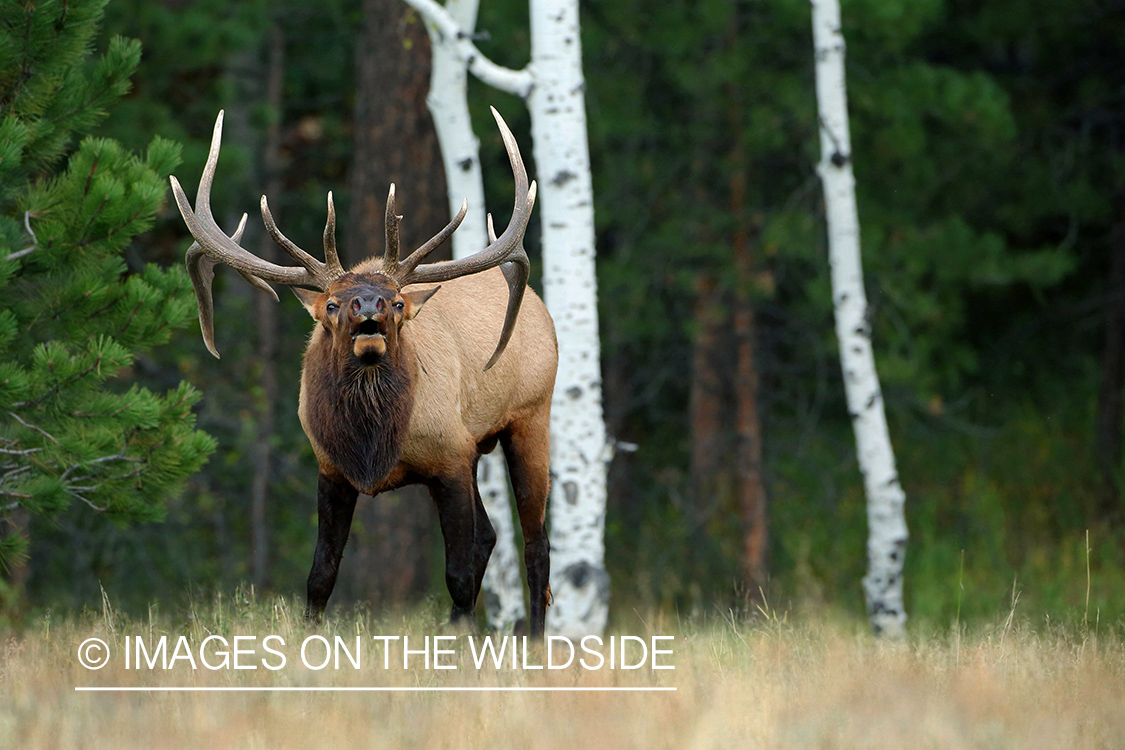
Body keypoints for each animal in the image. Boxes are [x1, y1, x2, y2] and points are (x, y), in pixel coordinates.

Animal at [169, 109, 557, 637]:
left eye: (397, 302)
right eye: (331, 304)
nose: (368, 305)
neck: (374, 445)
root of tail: (540, 310)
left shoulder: (450, 456)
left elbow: (456, 575)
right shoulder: (332, 467)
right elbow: (320, 576)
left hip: (530, 416)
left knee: (536, 546)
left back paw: (534, 642)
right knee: (492, 537)